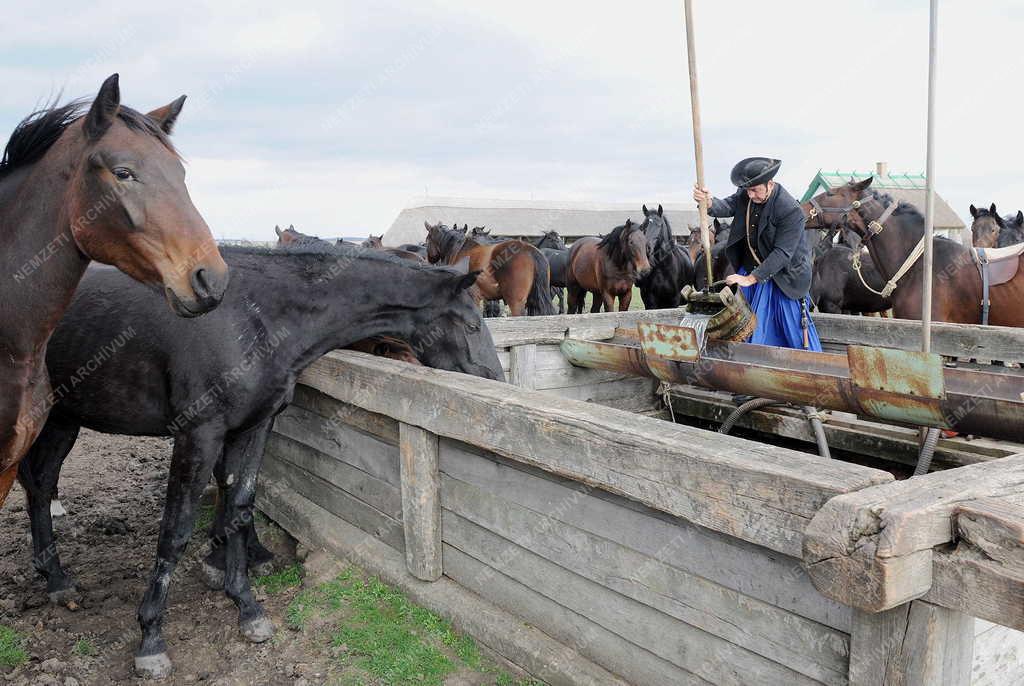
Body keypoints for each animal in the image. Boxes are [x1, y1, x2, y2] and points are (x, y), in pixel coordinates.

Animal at [20, 244, 503, 679]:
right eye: (472, 323)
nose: (496, 380)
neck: (255, 317)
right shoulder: (199, 434)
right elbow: (175, 530)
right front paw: (151, 637)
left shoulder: (255, 426)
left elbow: (239, 505)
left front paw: (247, 607)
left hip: (63, 418)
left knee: (40, 483)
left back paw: (57, 580)